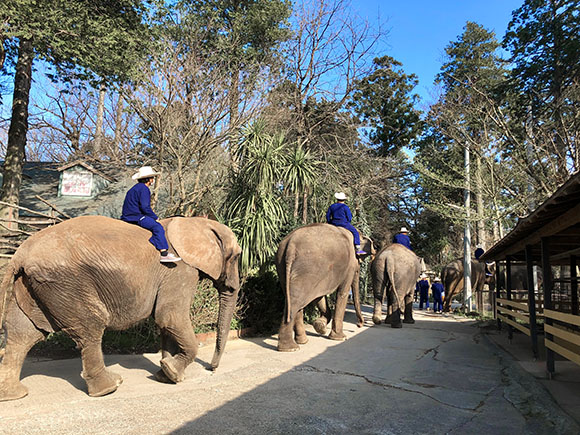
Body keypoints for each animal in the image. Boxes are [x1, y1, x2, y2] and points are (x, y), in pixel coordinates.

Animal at [0, 216, 240, 404]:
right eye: (237, 256)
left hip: (33, 286)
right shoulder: (179, 270)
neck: (197, 222)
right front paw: (172, 373)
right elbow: (169, 317)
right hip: (65, 283)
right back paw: (110, 387)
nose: (212, 369)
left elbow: (165, 323)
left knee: (23, 333)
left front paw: (166, 375)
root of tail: (19, 254)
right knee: (91, 326)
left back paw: (14, 395)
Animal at [276, 223, 374, 352]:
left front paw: (320, 327)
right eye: (357, 270)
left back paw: (302, 342)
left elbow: (319, 297)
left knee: (294, 301)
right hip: (307, 269)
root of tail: (291, 245)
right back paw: (291, 348)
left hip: (283, 265)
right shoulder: (349, 267)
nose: (359, 325)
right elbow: (342, 292)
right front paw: (340, 338)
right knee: (296, 302)